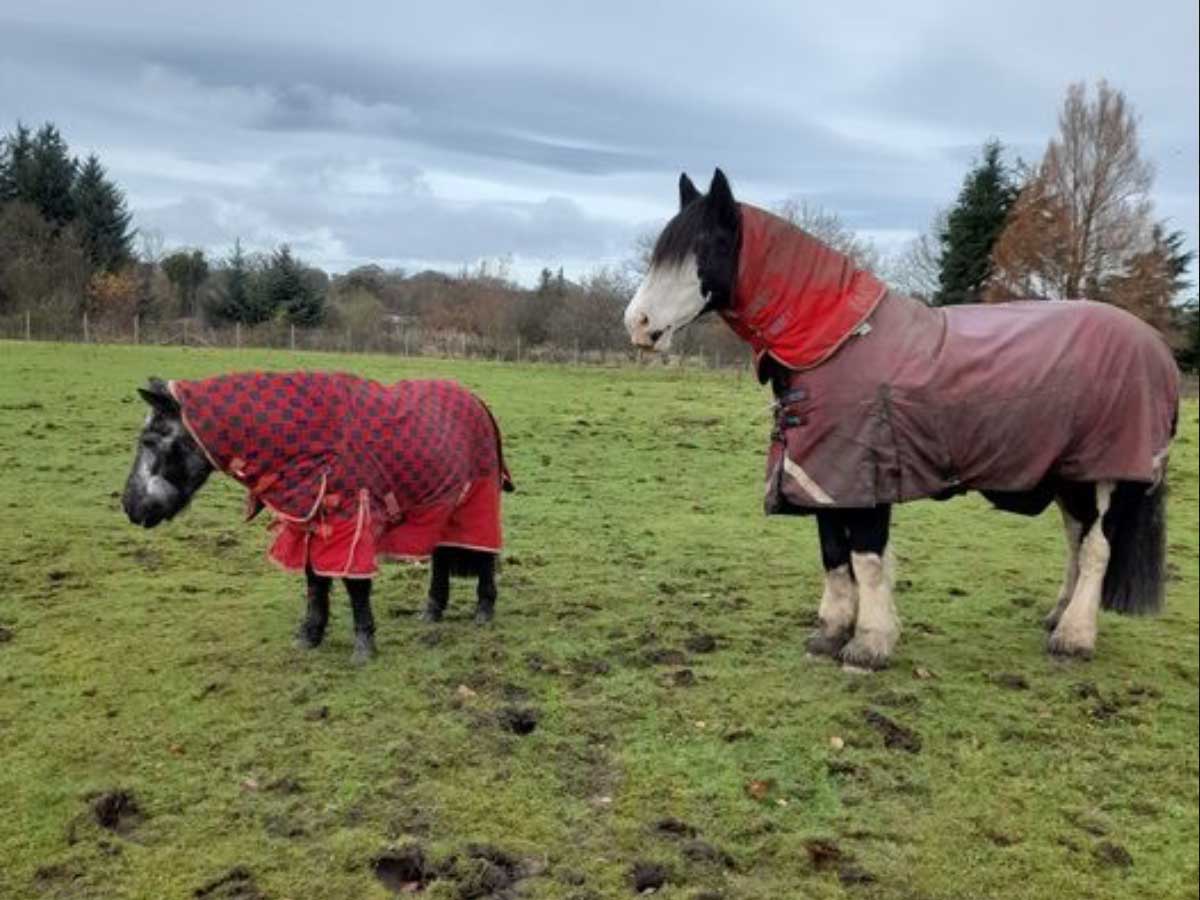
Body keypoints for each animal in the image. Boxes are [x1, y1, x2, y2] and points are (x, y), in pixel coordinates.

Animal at [124, 372, 513, 662]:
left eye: (148, 440)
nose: (130, 506)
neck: (311, 442)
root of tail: (477, 402)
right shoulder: (308, 522)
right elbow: (314, 581)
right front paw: (310, 635)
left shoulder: (351, 521)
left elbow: (354, 585)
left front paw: (364, 646)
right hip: (441, 506)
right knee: (443, 555)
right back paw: (432, 610)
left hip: (476, 501)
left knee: (484, 553)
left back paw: (484, 610)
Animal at [624, 169, 1176, 672]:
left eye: (704, 246)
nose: (639, 324)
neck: (838, 341)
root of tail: (1158, 349)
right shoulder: (824, 479)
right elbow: (833, 555)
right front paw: (830, 633)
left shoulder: (864, 481)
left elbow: (866, 561)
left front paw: (869, 644)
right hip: (1071, 475)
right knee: (1076, 540)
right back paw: (1058, 616)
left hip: (1107, 476)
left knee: (1097, 549)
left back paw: (1074, 638)